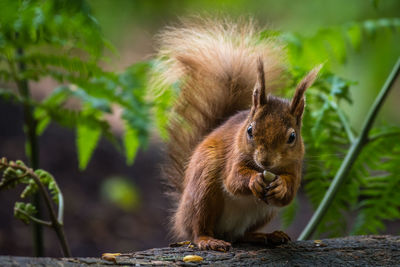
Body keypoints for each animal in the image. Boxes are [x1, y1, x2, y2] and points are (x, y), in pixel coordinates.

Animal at [152, 18, 320, 253]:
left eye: (292, 137)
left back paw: (266, 236)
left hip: (264, 213)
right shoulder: (234, 156)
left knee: (242, 235)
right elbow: (233, 180)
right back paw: (208, 239)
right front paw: (253, 180)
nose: (265, 161)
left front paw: (281, 186)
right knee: (198, 228)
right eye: (250, 130)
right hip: (204, 189)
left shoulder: (295, 167)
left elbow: (289, 193)